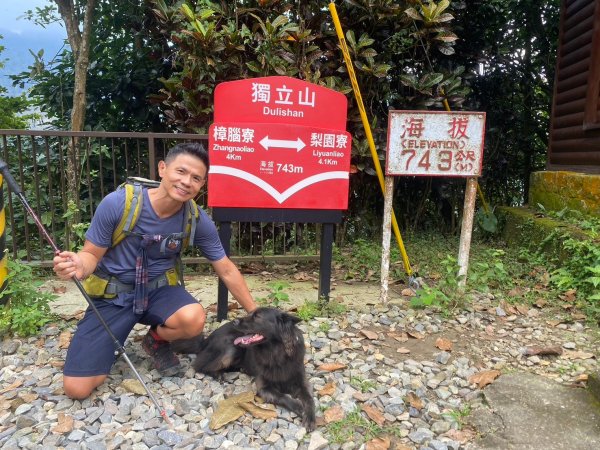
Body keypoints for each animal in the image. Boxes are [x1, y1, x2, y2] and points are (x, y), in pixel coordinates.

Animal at [171, 308, 316, 430]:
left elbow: (309, 398)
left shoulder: (302, 381)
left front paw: (310, 416)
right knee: (201, 365)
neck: (276, 353)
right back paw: (219, 375)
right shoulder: (264, 388)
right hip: (231, 348)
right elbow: (283, 396)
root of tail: (207, 339)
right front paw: (299, 407)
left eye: (257, 316)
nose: (235, 321)